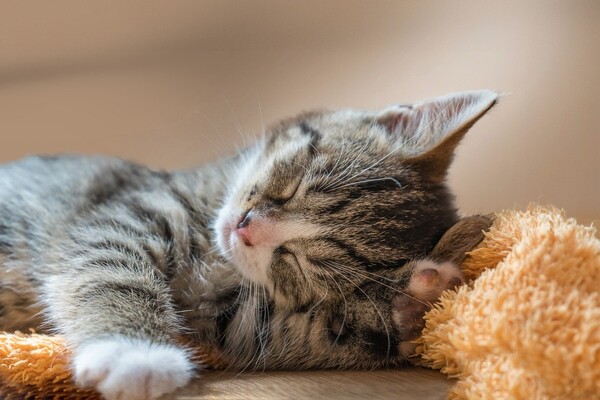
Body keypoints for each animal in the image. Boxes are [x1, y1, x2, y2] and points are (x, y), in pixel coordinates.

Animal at [0, 90, 496, 400]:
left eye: (296, 261)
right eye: (293, 184)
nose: (244, 228)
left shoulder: (227, 310)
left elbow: (264, 329)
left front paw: (412, 304)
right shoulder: (122, 213)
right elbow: (112, 268)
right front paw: (136, 354)